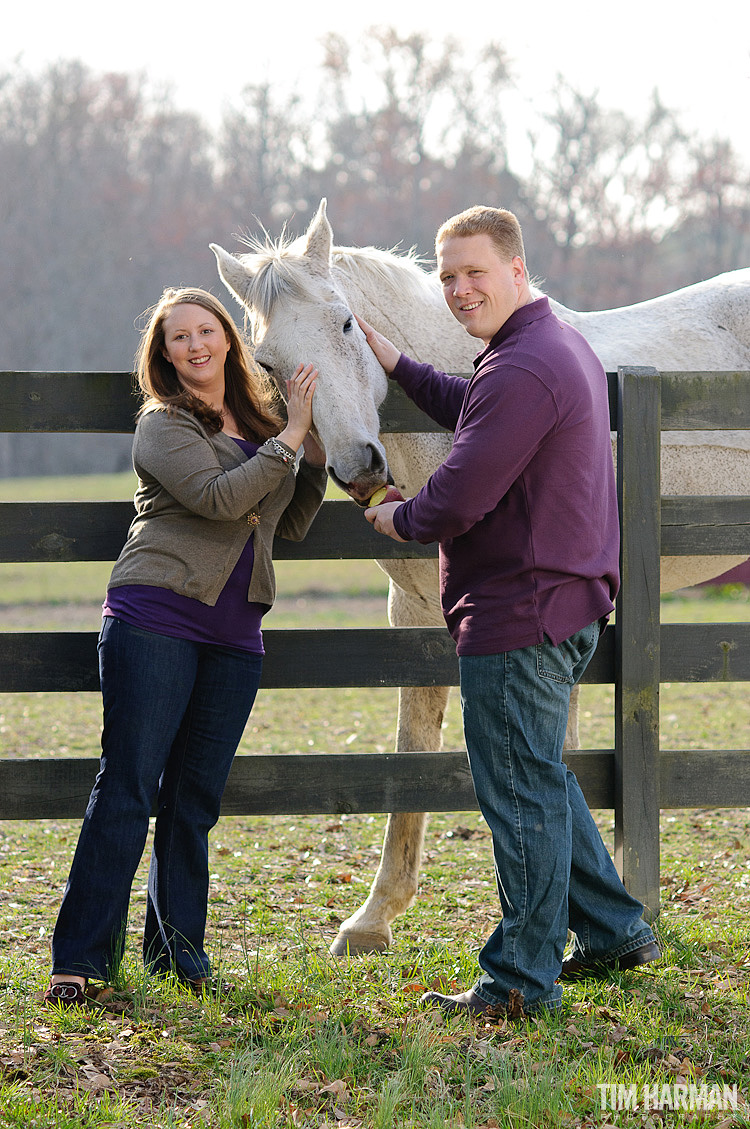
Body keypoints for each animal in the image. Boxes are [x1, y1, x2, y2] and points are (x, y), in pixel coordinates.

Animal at [211, 200, 750, 952]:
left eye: (345, 323)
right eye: (268, 362)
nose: (361, 466)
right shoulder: (412, 614)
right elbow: (414, 754)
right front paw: (374, 918)